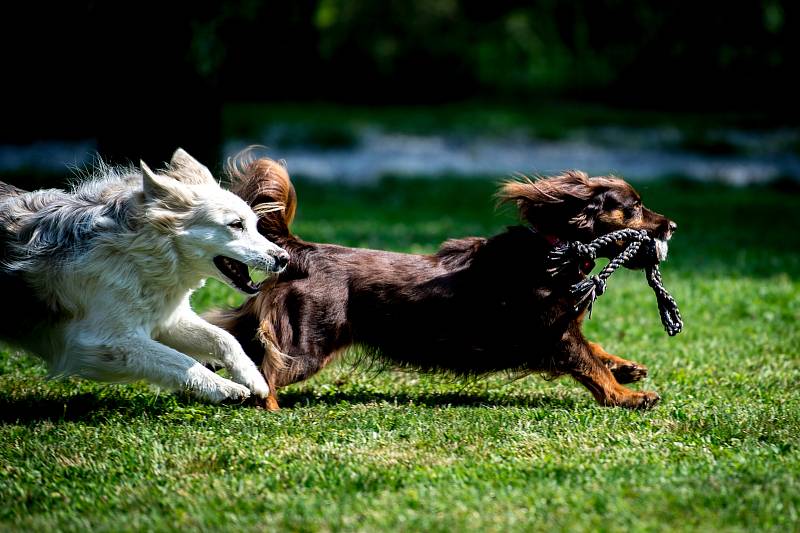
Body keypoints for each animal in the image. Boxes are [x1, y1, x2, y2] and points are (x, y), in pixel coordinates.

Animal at [0, 148, 288, 402]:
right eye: (236, 225)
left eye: (254, 225)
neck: (140, 255)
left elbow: (224, 338)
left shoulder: (167, 319)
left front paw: (253, 378)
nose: (284, 258)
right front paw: (223, 388)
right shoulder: (102, 344)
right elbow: (179, 360)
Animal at [211, 156, 676, 410]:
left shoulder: (561, 329)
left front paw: (627, 368)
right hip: (307, 344)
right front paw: (630, 397)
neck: (551, 249)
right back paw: (268, 405)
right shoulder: (554, 335)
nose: (671, 226)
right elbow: (591, 366)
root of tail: (301, 251)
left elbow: (596, 350)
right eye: (634, 207)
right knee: (268, 370)